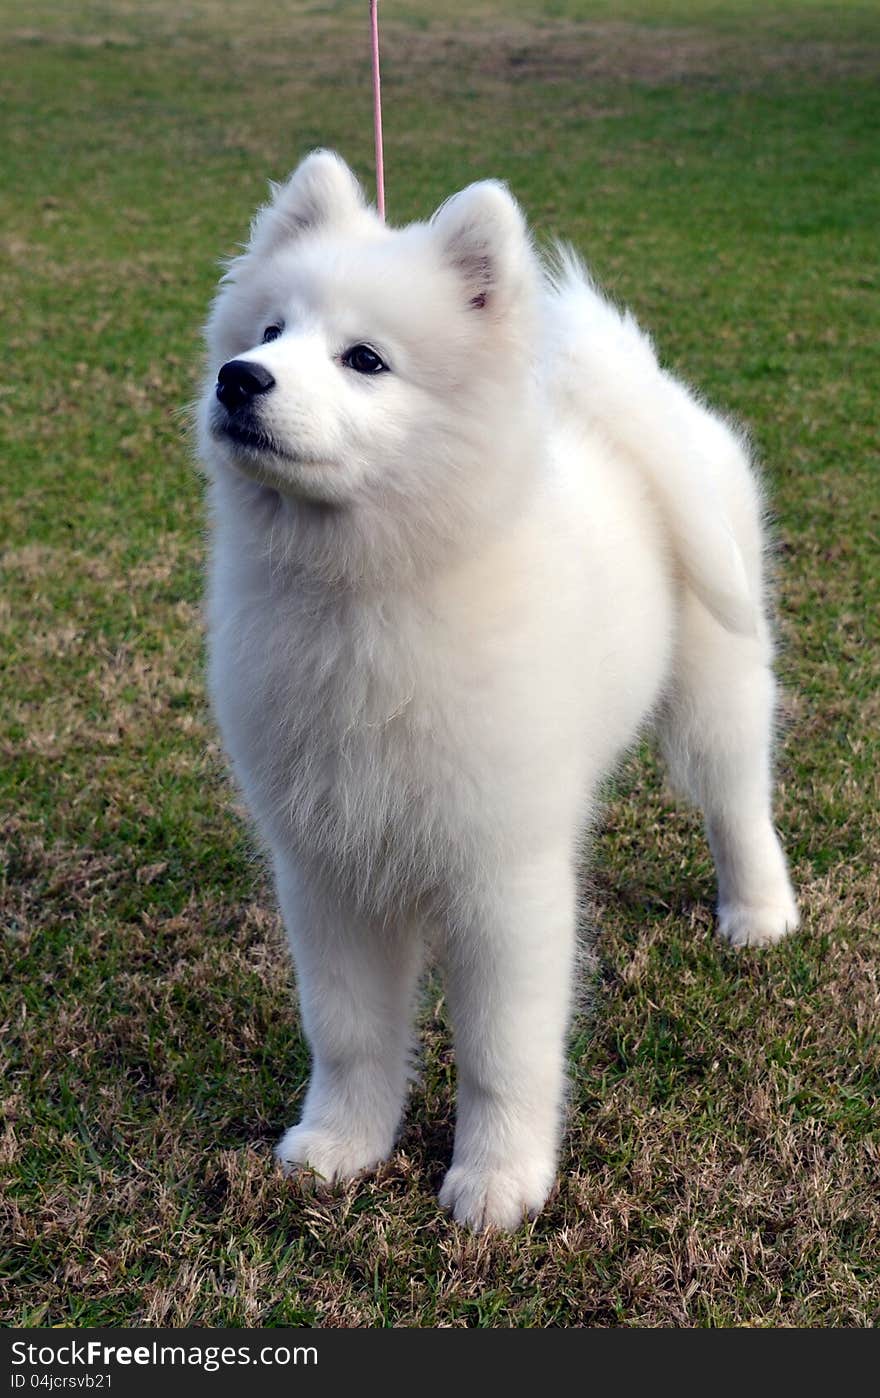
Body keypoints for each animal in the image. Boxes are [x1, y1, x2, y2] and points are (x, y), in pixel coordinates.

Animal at [197, 147, 794, 1230]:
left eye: (364, 360)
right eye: (269, 333)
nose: (239, 379)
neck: (370, 596)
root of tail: (648, 395)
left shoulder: (502, 874)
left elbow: (501, 1051)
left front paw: (497, 1183)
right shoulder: (326, 867)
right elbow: (348, 1030)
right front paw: (341, 1146)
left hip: (715, 688)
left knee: (737, 802)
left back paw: (759, 915)